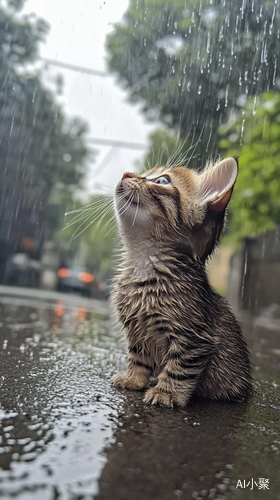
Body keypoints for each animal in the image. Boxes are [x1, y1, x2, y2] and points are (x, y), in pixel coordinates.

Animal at [110, 158, 253, 408]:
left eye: (161, 181)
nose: (127, 174)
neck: (143, 264)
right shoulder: (137, 332)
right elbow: (138, 357)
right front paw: (133, 379)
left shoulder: (193, 339)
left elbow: (180, 368)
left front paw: (166, 392)